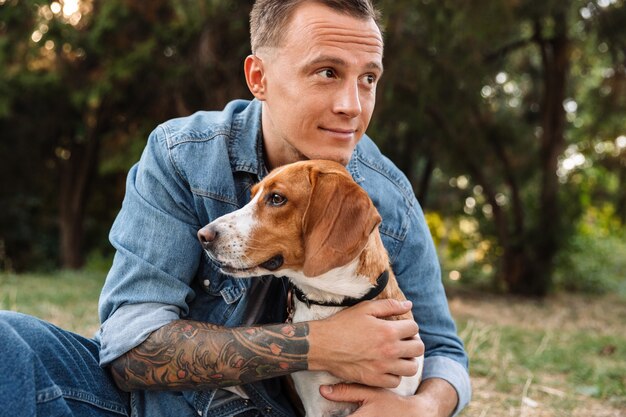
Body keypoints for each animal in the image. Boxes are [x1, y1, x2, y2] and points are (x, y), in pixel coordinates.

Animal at [199, 158, 424, 416]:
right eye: (252, 195)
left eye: (276, 198)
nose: (203, 235)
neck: (331, 299)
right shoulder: (318, 405)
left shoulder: (398, 398)